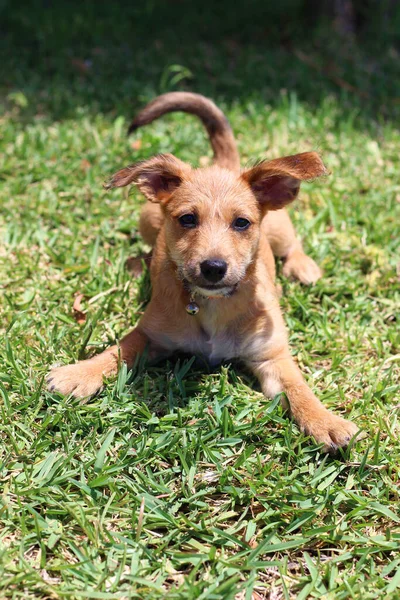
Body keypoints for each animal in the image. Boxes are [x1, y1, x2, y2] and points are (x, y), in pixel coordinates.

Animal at [48, 92, 358, 450]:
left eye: (242, 223)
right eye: (187, 219)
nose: (213, 268)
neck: (213, 305)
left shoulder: (272, 356)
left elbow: (299, 389)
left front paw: (325, 421)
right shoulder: (150, 336)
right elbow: (116, 351)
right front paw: (78, 374)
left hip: (280, 228)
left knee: (293, 243)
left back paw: (303, 267)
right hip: (146, 218)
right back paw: (138, 263)